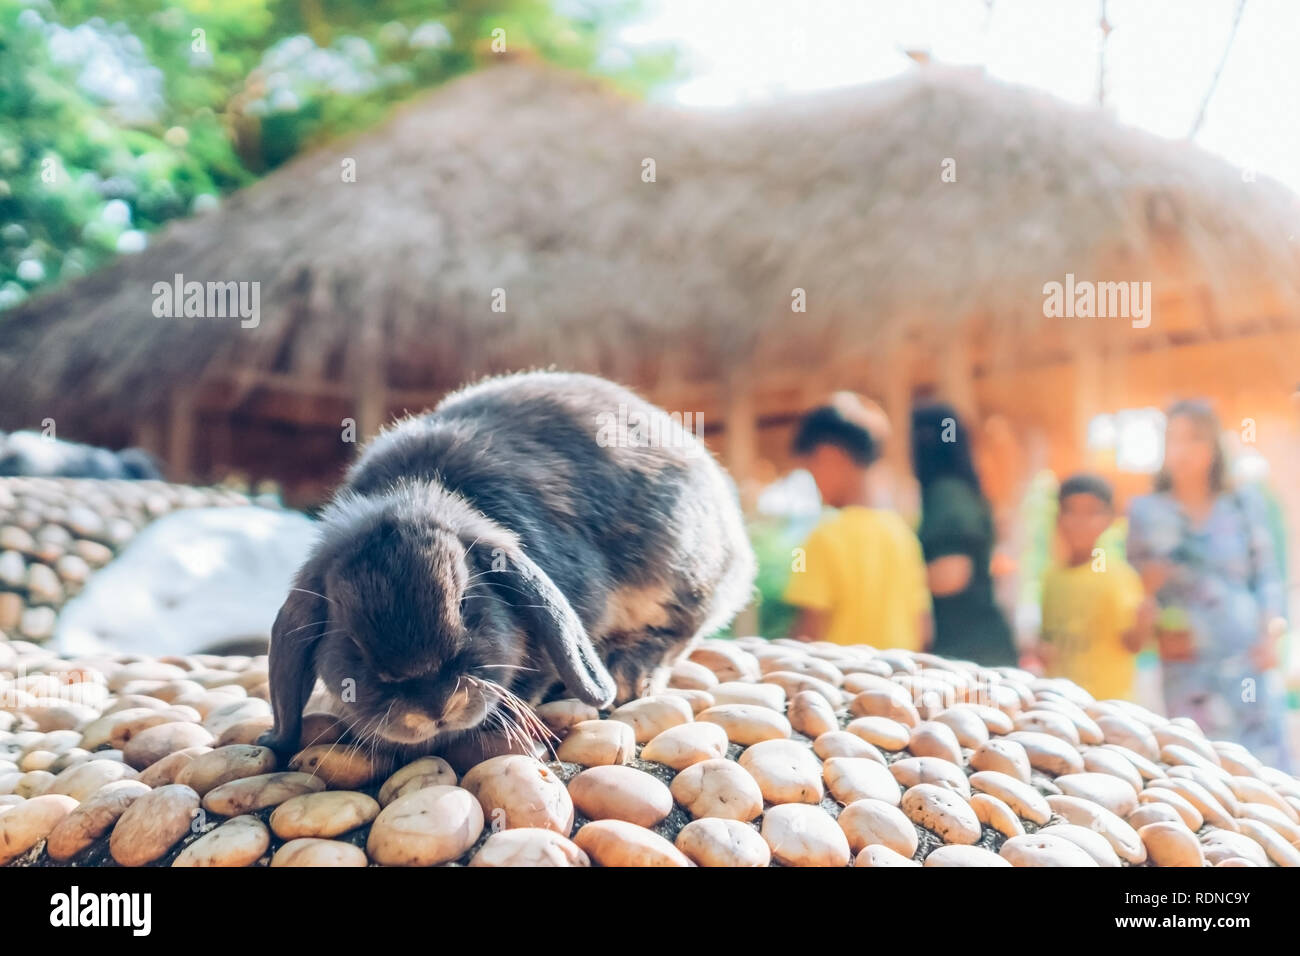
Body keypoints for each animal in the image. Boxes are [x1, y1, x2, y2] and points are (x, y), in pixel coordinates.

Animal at [258, 370, 756, 758]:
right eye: (349, 636)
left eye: (465, 604)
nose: (433, 705)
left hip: (678, 567)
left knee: (682, 628)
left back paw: (630, 672)